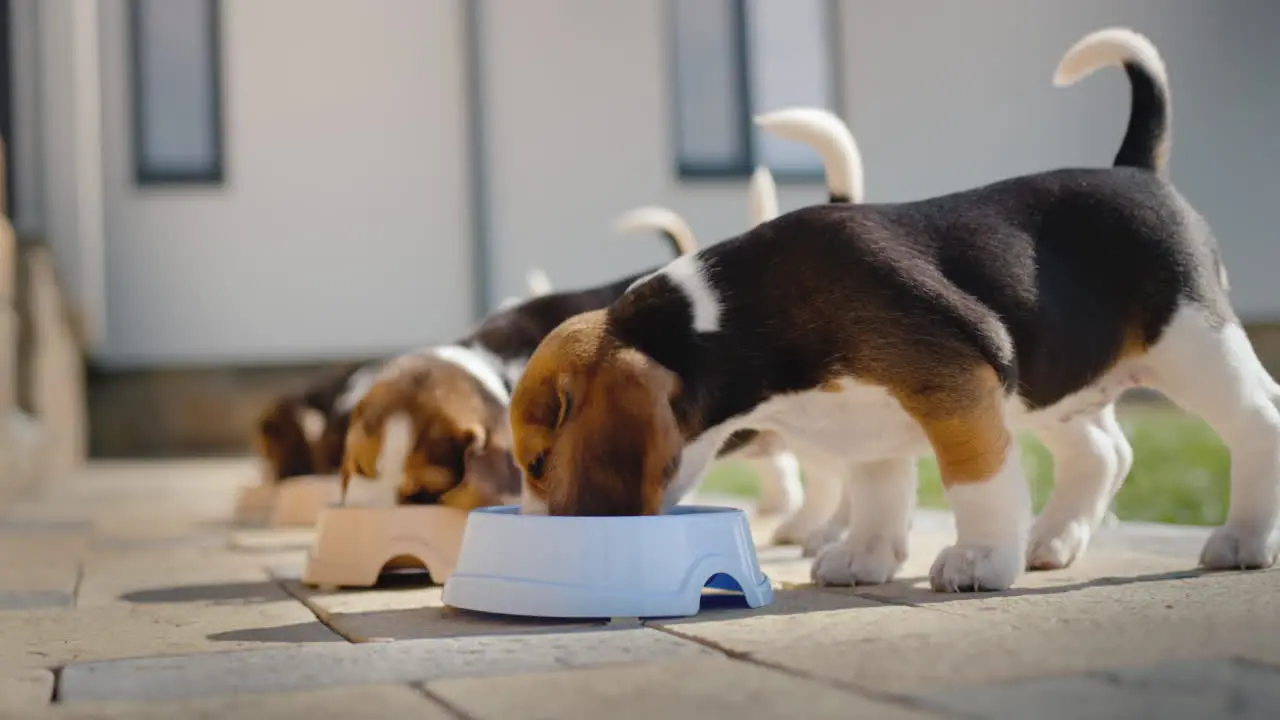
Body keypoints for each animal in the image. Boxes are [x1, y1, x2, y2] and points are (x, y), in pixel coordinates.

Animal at [512, 25, 1280, 591]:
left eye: (539, 463)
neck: (731, 317)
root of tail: (1135, 169)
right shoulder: (868, 426)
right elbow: (879, 490)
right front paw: (866, 555)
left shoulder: (955, 387)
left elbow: (976, 483)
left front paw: (979, 560)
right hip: (1055, 382)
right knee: (1103, 452)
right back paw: (1053, 539)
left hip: (1192, 345)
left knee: (1257, 421)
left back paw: (1242, 538)